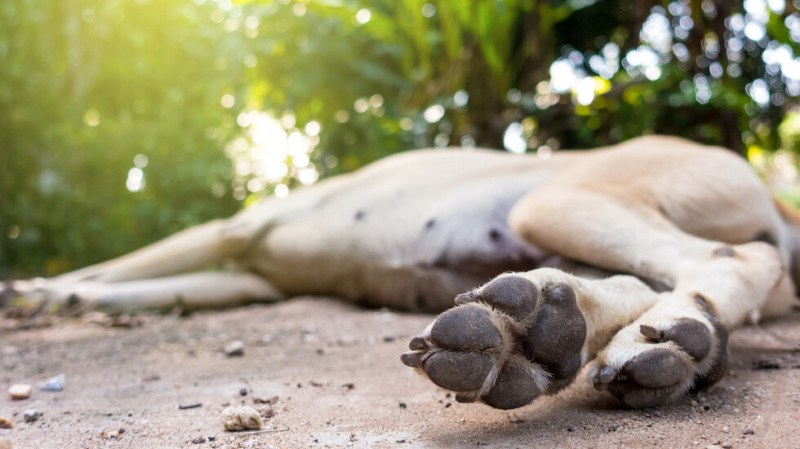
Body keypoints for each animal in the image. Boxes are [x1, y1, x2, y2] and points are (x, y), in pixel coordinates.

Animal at [7, 134, 800, 410]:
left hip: (556, 199)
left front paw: (41, 288)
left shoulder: (230, 229)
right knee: (634, 284)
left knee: (732, 258)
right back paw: (539, 337)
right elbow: (146, 281)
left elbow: (125, 261)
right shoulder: (253, 277)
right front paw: (66, 296)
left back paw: (670, 335)